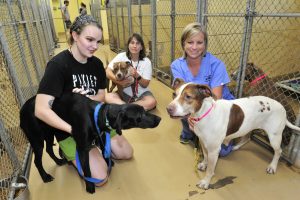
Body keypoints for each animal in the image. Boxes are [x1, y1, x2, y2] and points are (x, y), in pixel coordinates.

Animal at [19, 93, 161, 193]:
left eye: (145, 110)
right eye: (140, 117)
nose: (159, 119)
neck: (99, 115)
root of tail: (22, 109)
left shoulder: (102, 138)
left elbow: (105, 154)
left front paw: (109, 163)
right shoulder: (82, 150)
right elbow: (87, 170)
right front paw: (89, 185)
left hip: (49, 133)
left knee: (49, 149)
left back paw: (59, 161)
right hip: (37, 140)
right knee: (37, 161)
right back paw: (45, 176)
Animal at [166, 77, 300, 189]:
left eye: (188, 96)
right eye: (174, 94)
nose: (168, 109)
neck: (205, 113)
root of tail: (282, 108)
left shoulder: (214, 150)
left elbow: (210, 169)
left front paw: (205, 182)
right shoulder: (204, 142)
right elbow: (205, 156)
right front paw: (204, 164)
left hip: (274, 137)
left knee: (279, 151)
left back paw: (272, 166)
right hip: (248, 127)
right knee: (247, 137)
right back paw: (236, 146)